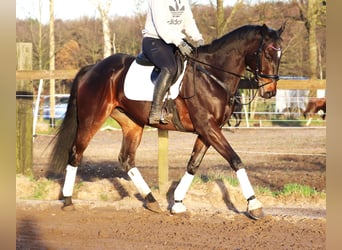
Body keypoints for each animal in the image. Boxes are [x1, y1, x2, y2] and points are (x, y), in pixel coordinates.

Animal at [49, 23, 284, 219]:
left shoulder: (206, 131)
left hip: (132, 124)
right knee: (76, 153)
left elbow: (193, 164)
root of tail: (92, 68)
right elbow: (235, 160)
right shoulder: (208, 127)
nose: (270, 92)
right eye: (267, 53)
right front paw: (254, 205)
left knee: (126, 159)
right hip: (92, 119)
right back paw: (68, 201)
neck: (212, 75)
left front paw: (177, 203)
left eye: (280, 55)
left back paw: (152, 200)